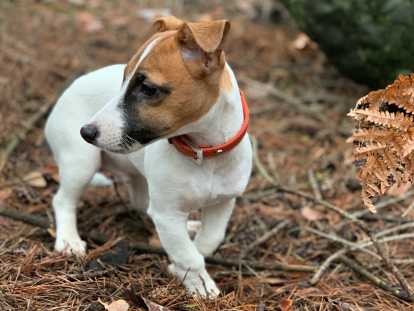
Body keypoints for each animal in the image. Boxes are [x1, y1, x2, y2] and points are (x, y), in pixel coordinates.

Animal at [44, 16, 252, 298]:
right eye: (123, 80)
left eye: (148, 89)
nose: (85, 132)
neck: (203, 154)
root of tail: (68, 89)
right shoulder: (167, 213)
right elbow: (188, 254)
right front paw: (197, 281)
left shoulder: (223, 202)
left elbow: (208, 241)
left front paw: (186, 265)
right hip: (81, 164)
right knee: (63, 200)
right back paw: (68, 240)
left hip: (138, 175)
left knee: (142, 204)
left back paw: (189, 226)